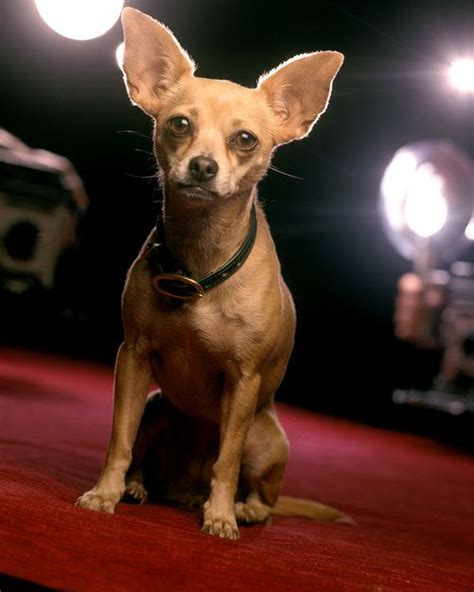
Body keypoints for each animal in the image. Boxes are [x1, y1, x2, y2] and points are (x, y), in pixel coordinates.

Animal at [76, 7, 348, 540]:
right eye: (179, 124)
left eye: (245, 140)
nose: (203, 166)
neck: (200, 260)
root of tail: (184, 489)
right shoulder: (133, 359)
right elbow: (119, 439)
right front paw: (105, 493)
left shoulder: (244, 383)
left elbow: (227, 459)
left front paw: (221, 517)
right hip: (157, 406)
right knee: (146, 458)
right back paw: (139, 488)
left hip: (266, 437)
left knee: (261, 493)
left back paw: (241, 509)